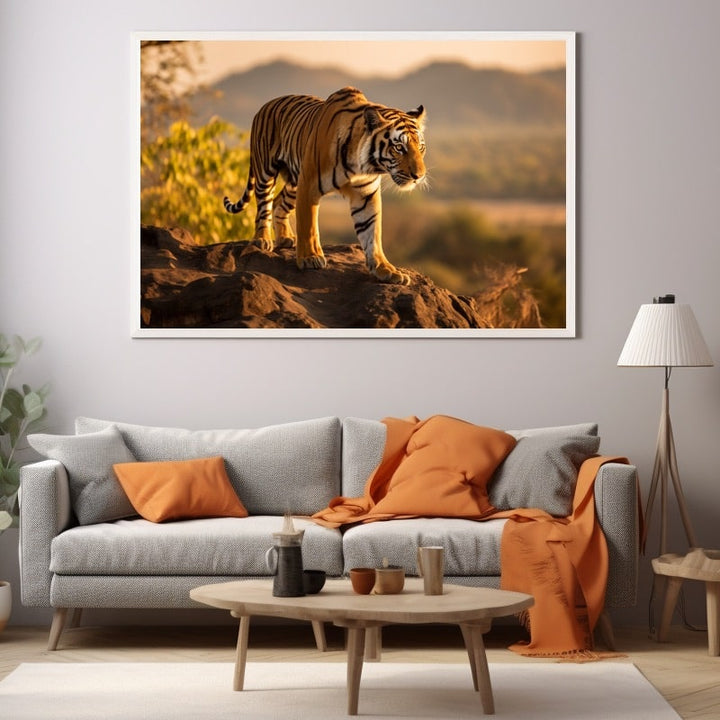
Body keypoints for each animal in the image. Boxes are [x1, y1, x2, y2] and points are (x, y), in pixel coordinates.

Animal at [223, 86, 426, 285]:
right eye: (399, 147)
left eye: (421, 147)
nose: (419, 176)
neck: (362, 165)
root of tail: (265, 106)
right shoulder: (309, 185)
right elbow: (309, 226)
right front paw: (310, 258)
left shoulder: (366, 195)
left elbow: (372, 233)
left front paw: (385, 269)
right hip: (266, 171)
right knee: (264, 206)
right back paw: (262, 239)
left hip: (294, 183)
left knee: (279, 202)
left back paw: (285, 238)